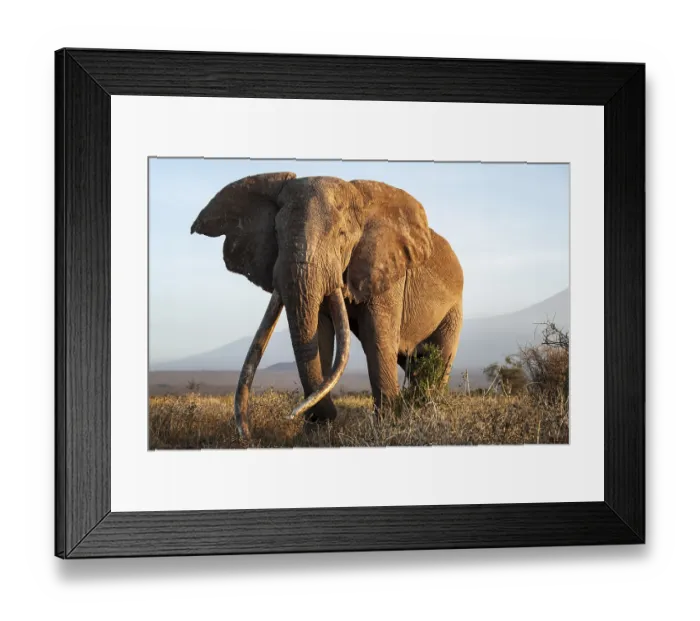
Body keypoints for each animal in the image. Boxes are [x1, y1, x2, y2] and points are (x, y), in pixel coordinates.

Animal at [190, 172, 464, 439]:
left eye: (341, 235)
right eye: (277, 233)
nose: (247, 435)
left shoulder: (387, 271)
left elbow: (376, 336)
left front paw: (388, 429)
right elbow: (319, 334)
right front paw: (316, 434)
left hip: (454, 309)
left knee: (439, 360)